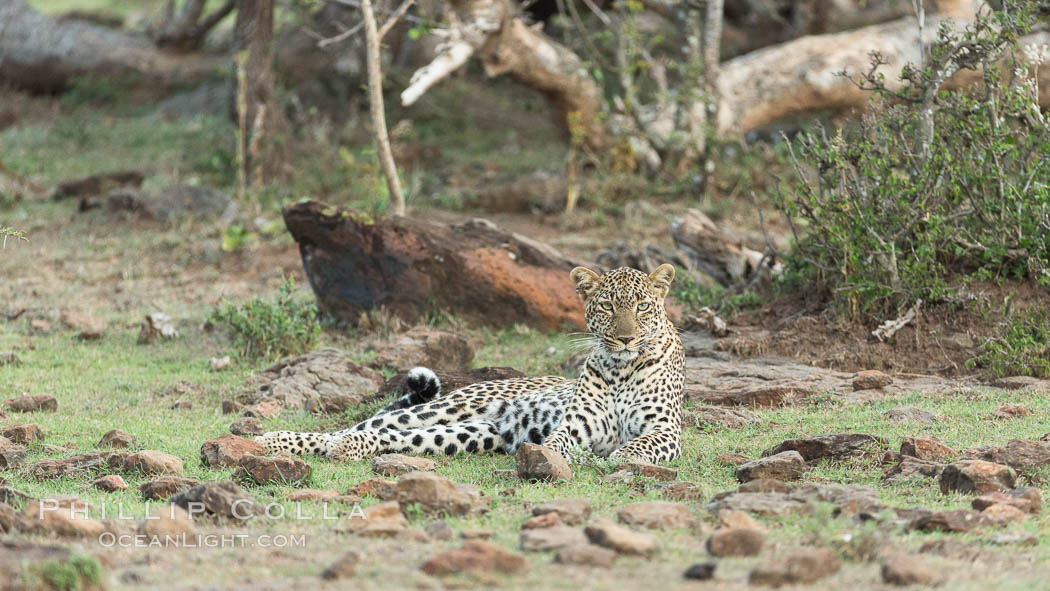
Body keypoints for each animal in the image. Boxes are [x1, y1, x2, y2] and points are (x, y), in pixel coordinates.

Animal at [249, 262, 684, 461]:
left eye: (643, 307)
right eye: (608, 307)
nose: (626, 338)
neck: (621, 369)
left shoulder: (666, 430)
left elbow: (638, 445)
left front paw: (618, 458)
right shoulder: (575, 426)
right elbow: (557, 443)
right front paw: (554, 459)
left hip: (476, 433)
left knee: (389, 438)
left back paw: (343, 448)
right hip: (444, 408)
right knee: (355, 428)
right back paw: (274, 440)